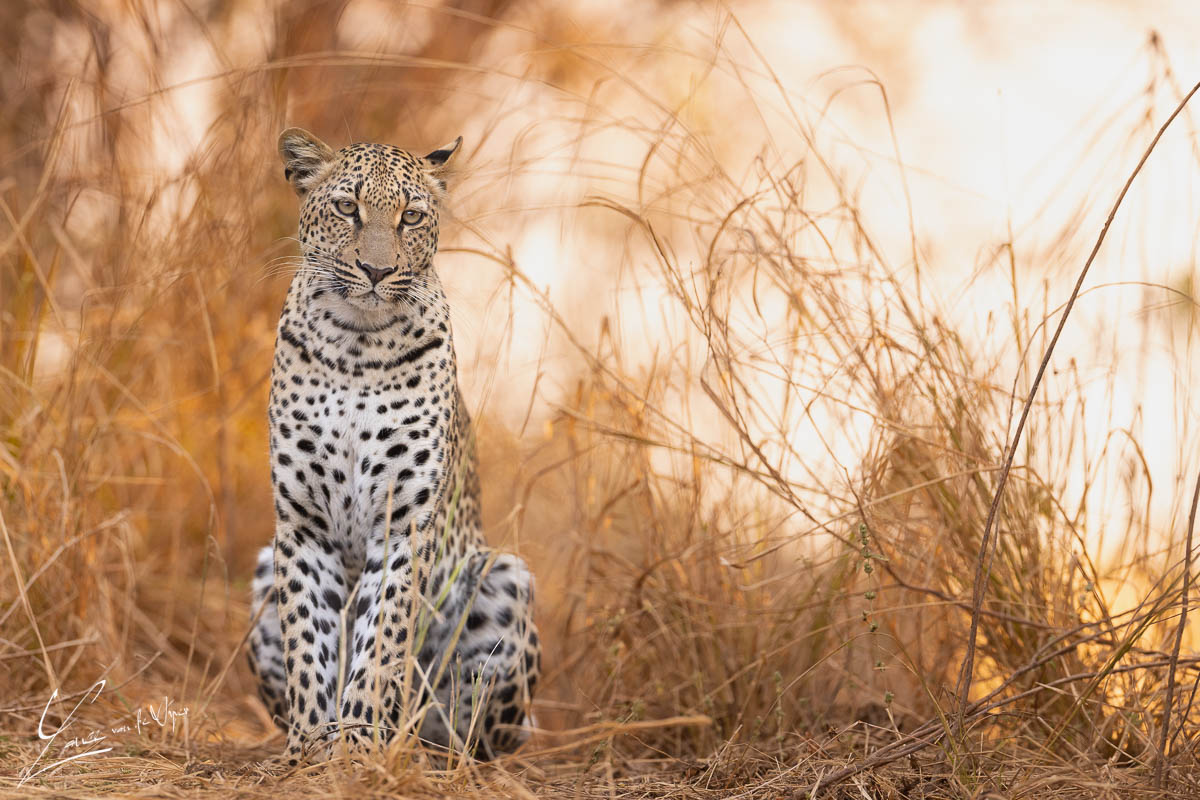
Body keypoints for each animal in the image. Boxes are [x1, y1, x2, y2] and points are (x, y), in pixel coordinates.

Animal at [246, 127, 540, 766]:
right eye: (346, 207)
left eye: (411, 216)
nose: (377, 270)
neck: (357, 344)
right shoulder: (302, 525)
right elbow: (308, 641)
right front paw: (310, 746)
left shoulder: (403, 523)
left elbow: (381, 639)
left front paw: (358, 742)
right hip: (260, 572)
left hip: (505, 577)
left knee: (465, 729)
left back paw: (422, 750)